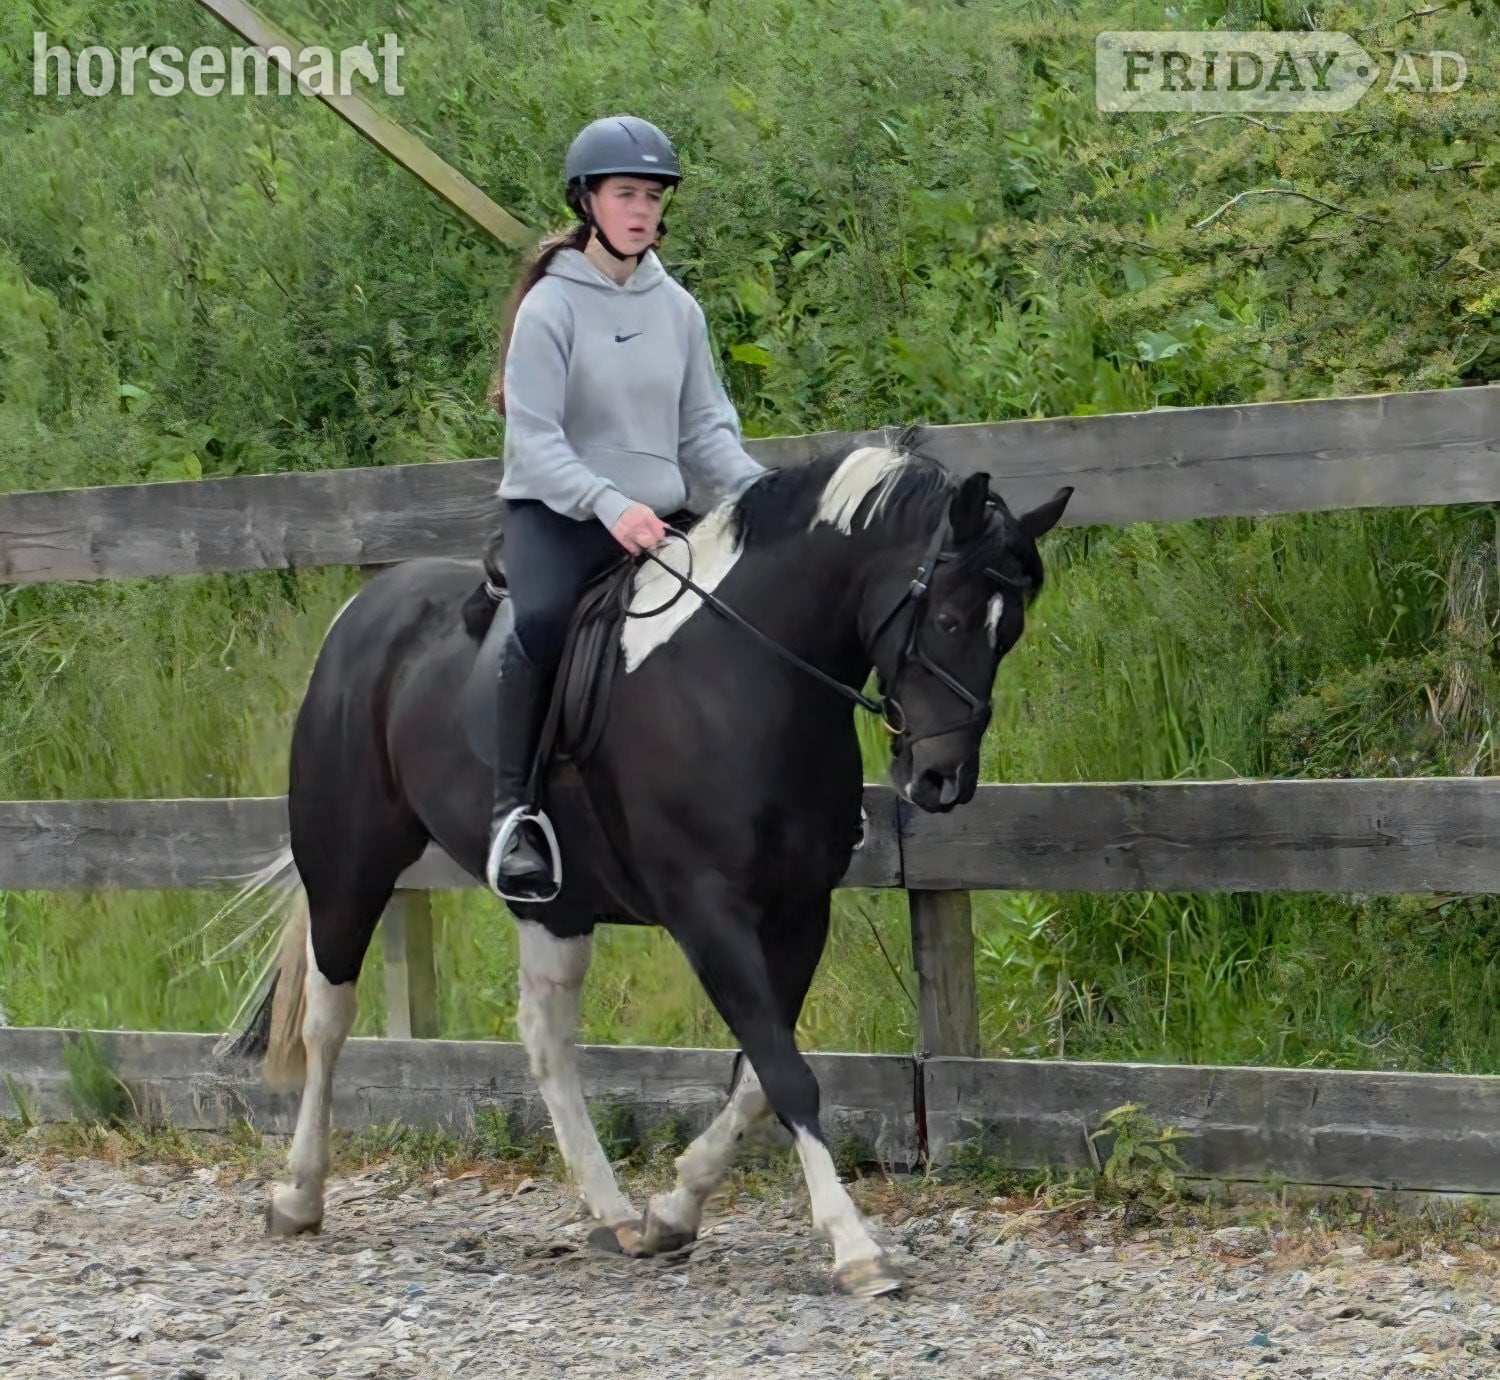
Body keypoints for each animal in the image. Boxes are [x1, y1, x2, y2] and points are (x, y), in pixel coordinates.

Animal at [216, 425, 1071, 1298]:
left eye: (1010, 631)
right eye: (950, 618)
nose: (942, 781)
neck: (745, 678)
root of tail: (365, 608)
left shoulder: (801, 910)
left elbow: (759, 1076)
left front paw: (673, 1210)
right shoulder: (707, 910)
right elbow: (787, 1072)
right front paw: (854, 1246)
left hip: (553, 906)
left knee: (544, 1038)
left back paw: (615, 1212)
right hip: (348, 864)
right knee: (327, 1018)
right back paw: (298, 1195)